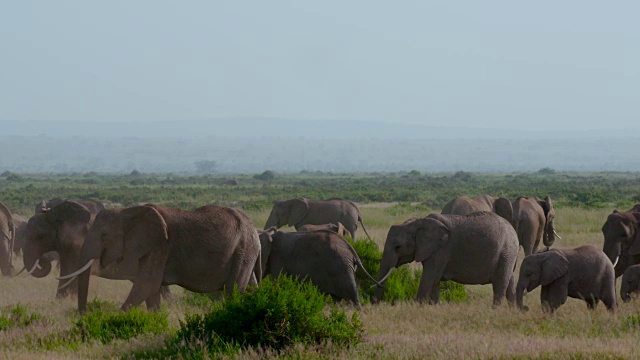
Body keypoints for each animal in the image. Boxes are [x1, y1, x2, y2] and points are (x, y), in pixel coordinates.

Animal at [58, 202, 260, 312]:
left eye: (104, 235)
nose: (84, 315)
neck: (129, 212)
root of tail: (252, 226)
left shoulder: (161, 245)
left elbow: (146, 284)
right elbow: (151, 290)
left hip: (243, 249)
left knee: (234, 289)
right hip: (245, 252)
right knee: (251, 286)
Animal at [372, 211, 516, 306]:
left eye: (398, 247)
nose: (375, 304)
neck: (417, 223)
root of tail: (512, 229)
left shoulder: (441, 249)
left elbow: (429, 277)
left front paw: (417, 308)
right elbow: (435, 280)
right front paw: (433, 306)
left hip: (505, 252)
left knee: (500, 284)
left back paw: (496, 311)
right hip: (508, 254)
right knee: (510, 283)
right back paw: (513, 310)